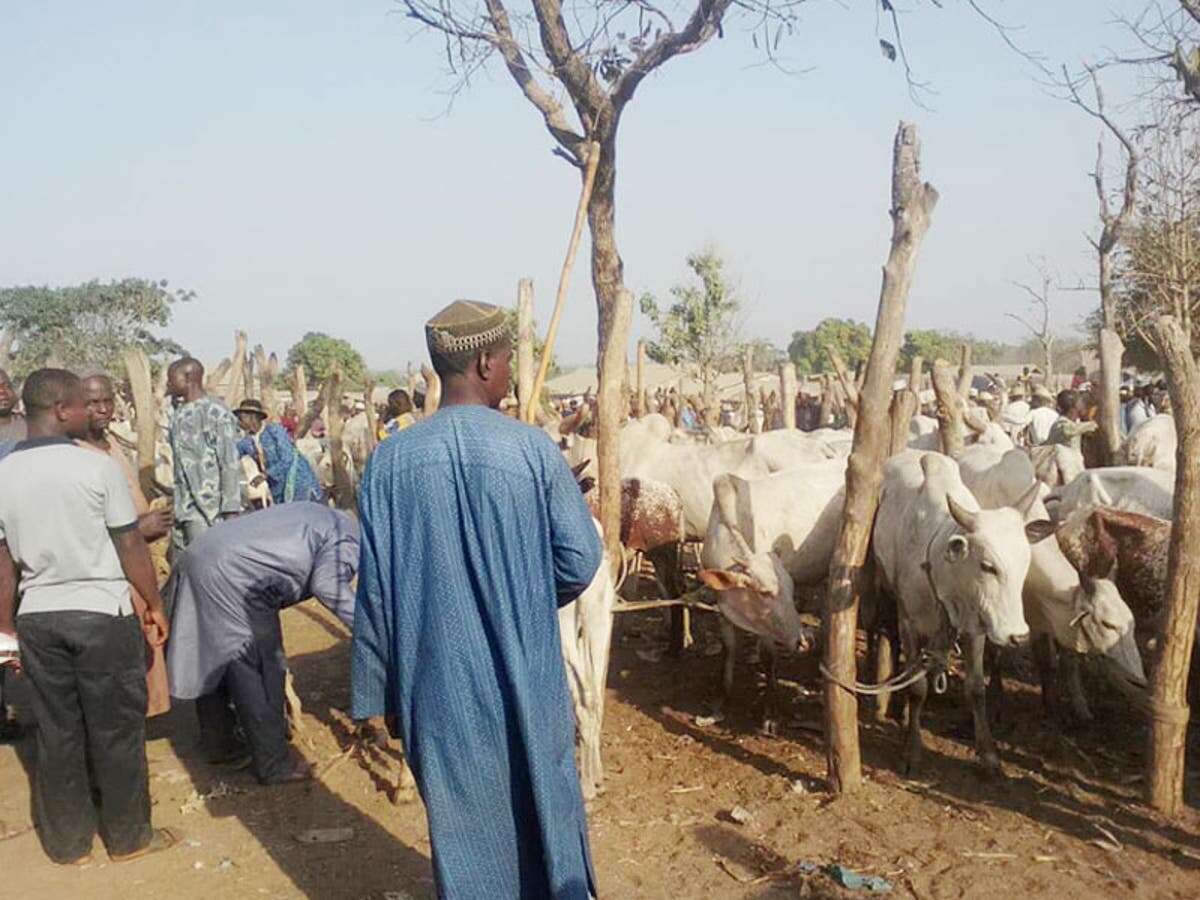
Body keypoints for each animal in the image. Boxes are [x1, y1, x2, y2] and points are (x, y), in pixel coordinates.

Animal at [873, 451, 1041, 777]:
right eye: (988, 566)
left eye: (1026, 563)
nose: (1018, 636)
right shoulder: (910, 622)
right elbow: (918, 688)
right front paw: (912, 751)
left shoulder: (975, 630)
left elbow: (975, 690)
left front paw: (989, 755)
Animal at [955, 444, 1142, 720]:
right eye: (1107, 624)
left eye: (1131, 622)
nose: (1140, 680)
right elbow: (996, 650)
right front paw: (997, 693)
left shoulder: (1037, 613)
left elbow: (1051, 661)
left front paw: (1059, 704)